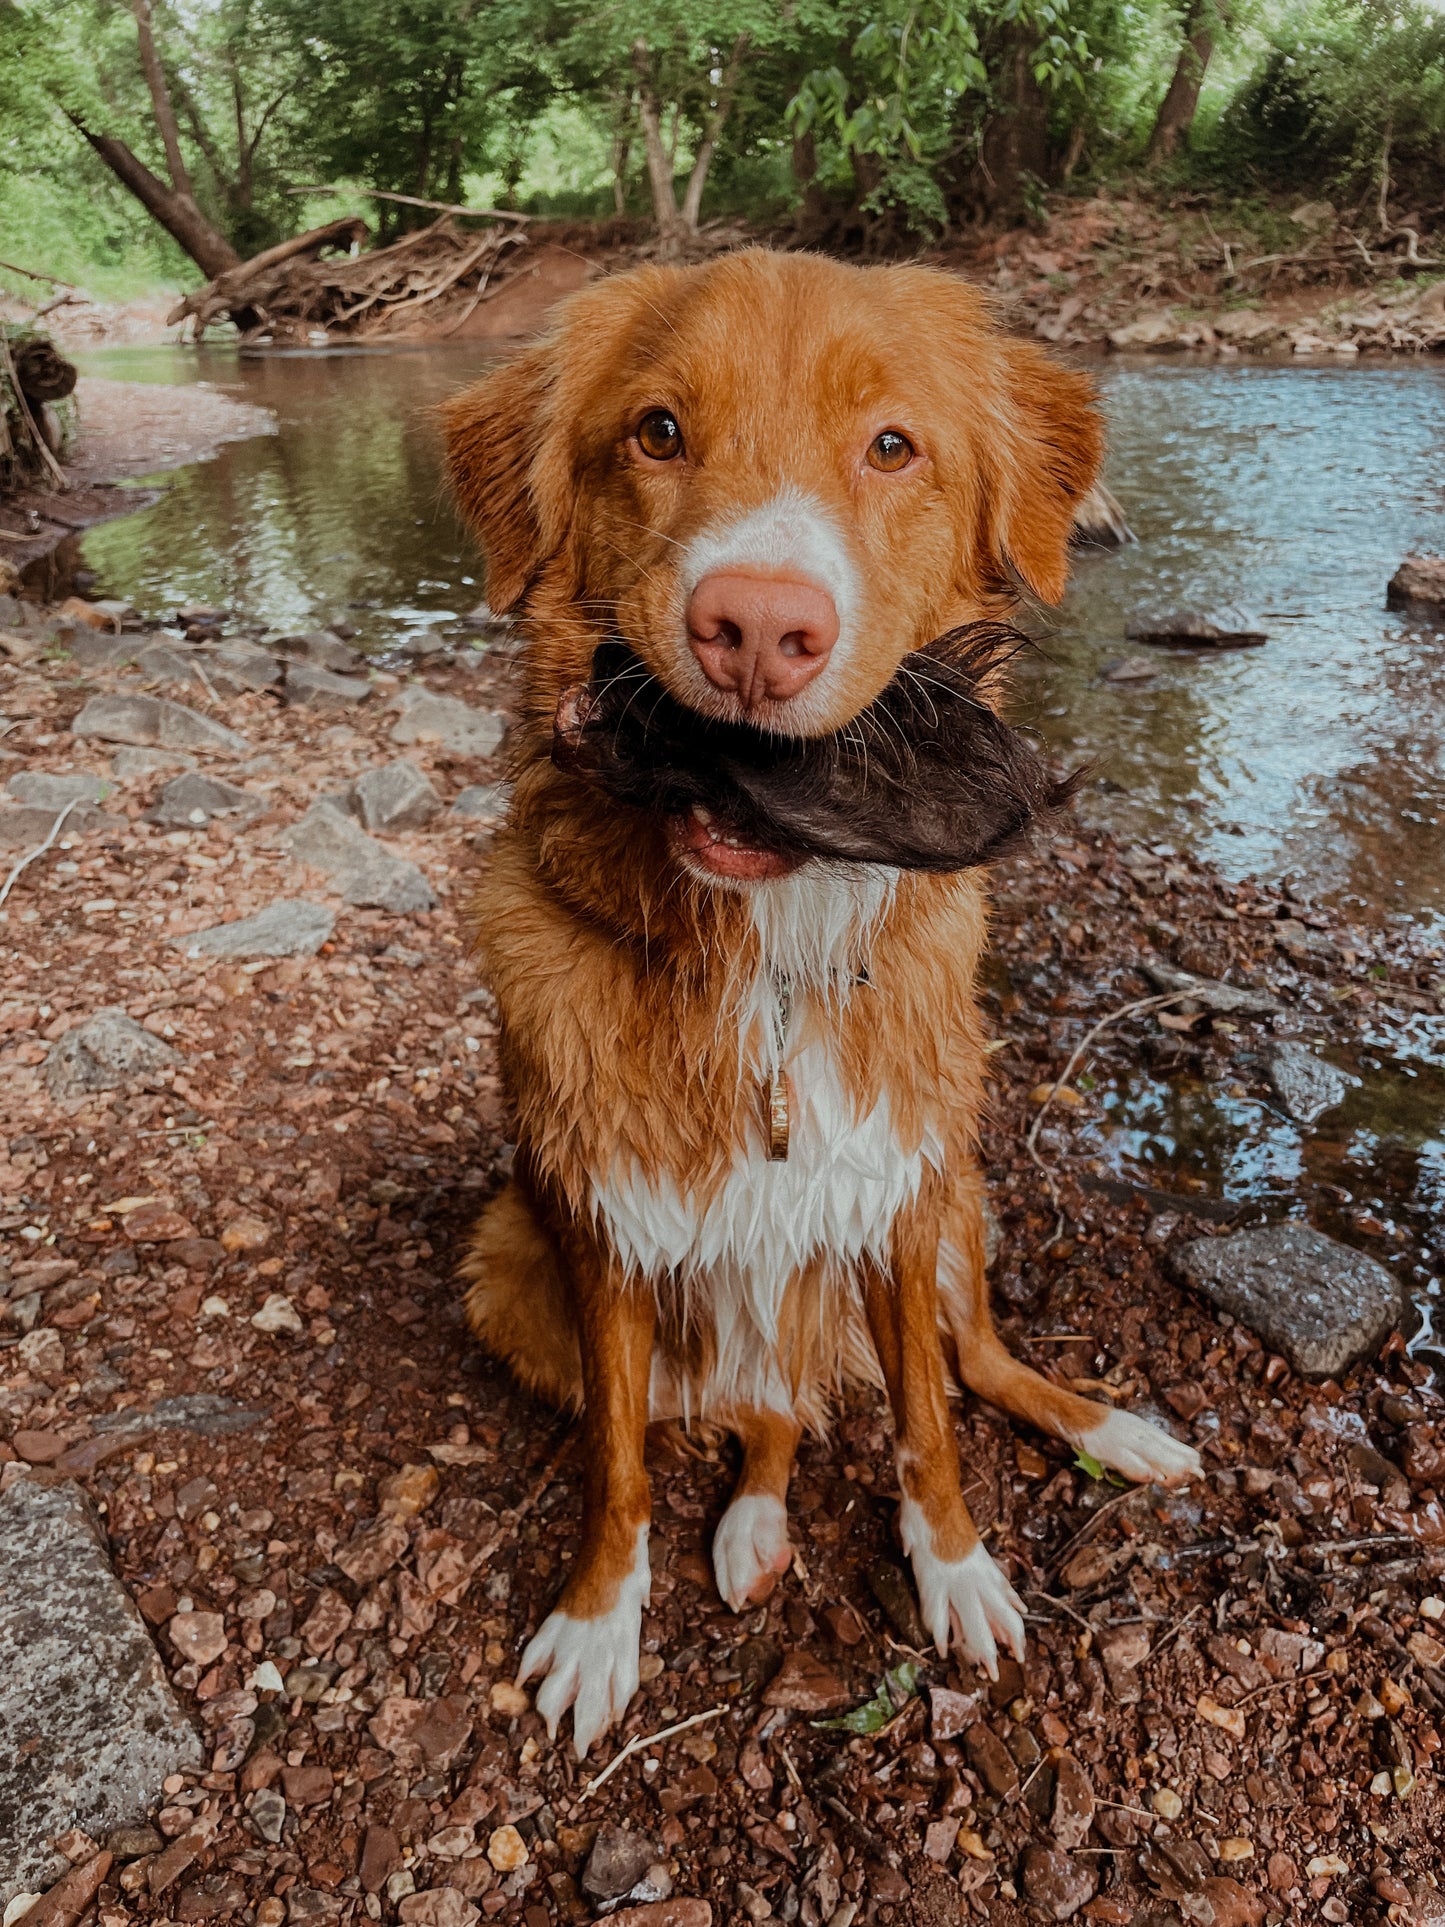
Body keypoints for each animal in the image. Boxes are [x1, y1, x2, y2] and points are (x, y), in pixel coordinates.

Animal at [445, 248, 1202, 1757]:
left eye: (892, 447)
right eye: (657, 432)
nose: (754, 628)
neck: (768, 967)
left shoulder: (901, 1192)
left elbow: (928, 1416)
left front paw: (953, 1565)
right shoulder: (600, 1227)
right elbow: (617, 1459)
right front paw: (600, 1618)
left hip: (964, 1193)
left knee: (977, 1363)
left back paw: (1108, 1427)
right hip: (508, 1264)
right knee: (763, 1411)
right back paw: (751, 1519)